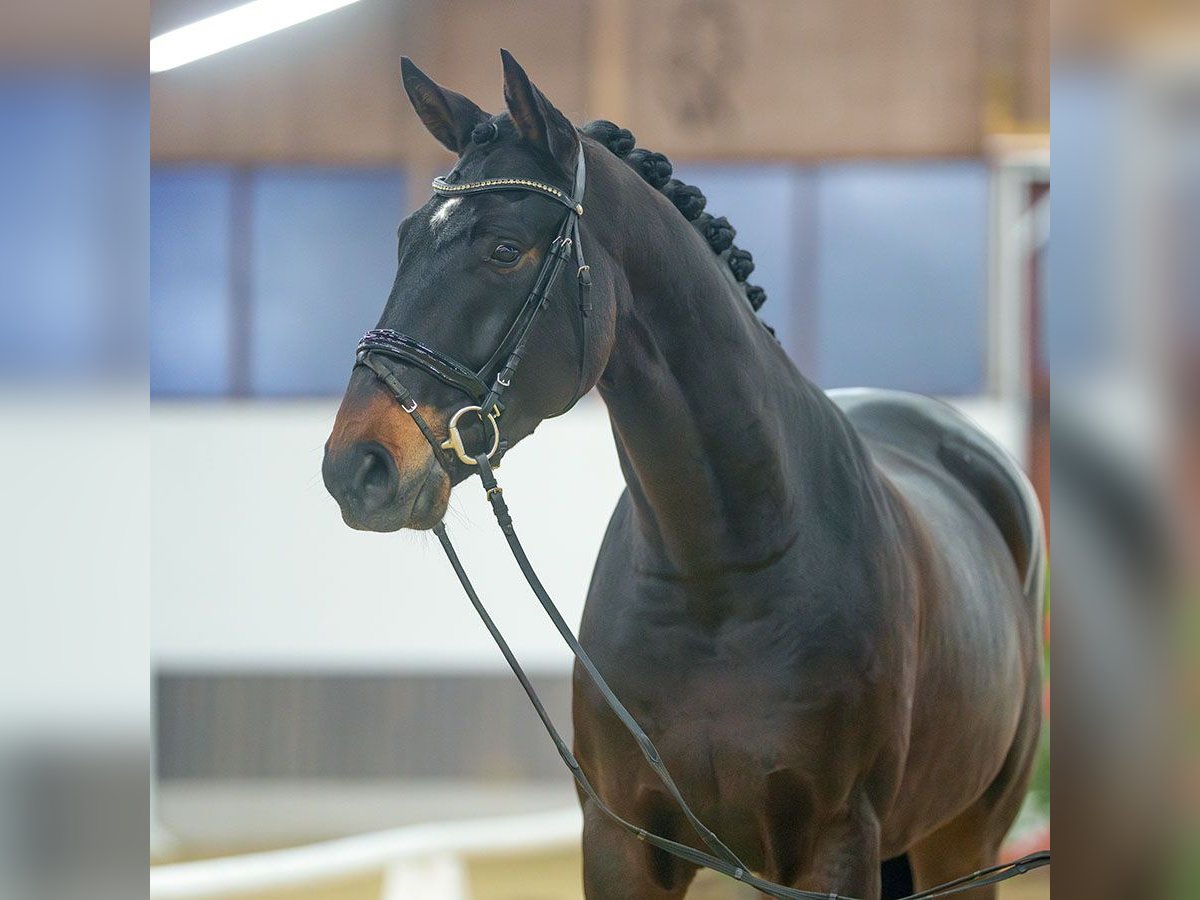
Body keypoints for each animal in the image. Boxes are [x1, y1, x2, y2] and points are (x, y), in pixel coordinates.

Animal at [324, 51, 1046, 900]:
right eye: (405, 238)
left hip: (963, 839)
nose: (356, 466)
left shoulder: (835, 845)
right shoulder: (621, 841)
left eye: (504, 249)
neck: (719, 574)